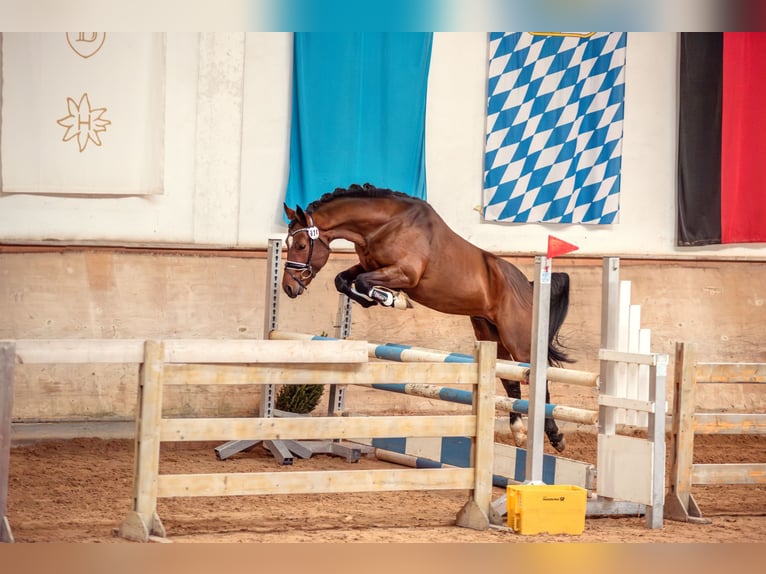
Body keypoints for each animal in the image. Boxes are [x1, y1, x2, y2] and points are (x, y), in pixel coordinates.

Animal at [281, 183, 572, 452]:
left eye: (301, 245)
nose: (288, 287)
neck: (384, 225)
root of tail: (528, 286)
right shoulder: (368, 265)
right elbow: (343, 280)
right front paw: (375, 299)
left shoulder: (405, 273)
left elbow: (363, 282)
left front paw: (393, 299)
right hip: (490, 334)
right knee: (511, 380)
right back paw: (519, 432)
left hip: (518, 340)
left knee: (537, 378)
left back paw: (555, 436)